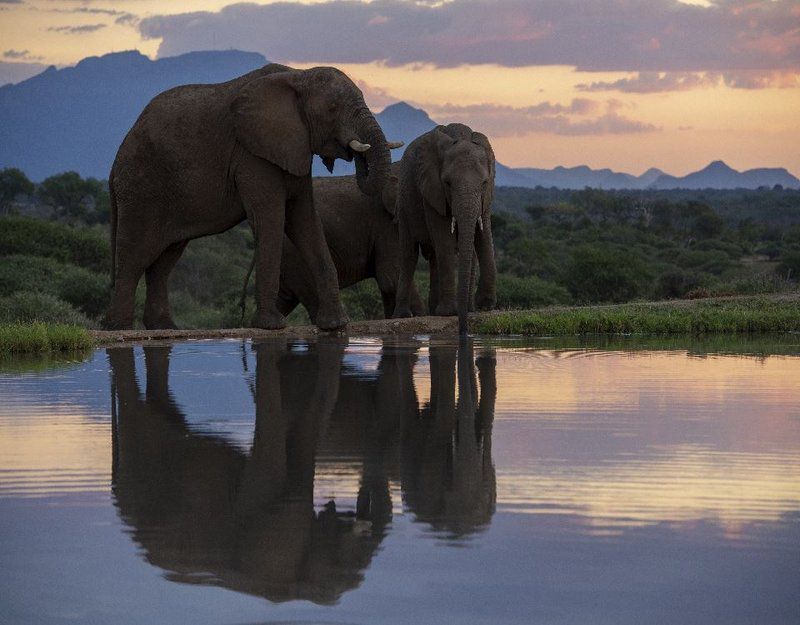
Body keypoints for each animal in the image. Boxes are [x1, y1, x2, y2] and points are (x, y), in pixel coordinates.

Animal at [105, 63, 394, 332]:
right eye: (333, 108)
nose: (356, 151)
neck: (298, 75)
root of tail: (117, 159)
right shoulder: (252, 155)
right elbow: (271, 218)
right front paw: (271, 326)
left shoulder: (293, 148)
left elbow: (305, 220)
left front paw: (336, 325)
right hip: (141, 188)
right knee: (134, 257)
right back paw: (121, 328)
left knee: (163, 261)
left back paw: (164, 328)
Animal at [392, 123, 496, 334]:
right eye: (447, 183)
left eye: (483, 183)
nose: (464, 330)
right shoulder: (432, 191)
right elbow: (445, 241)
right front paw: (449, 313)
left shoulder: (486, 197)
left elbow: (483, 237)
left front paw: (484, 306)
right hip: (404, 203)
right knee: (409, 255)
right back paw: (403, 315)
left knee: (435, 257)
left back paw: (441, 310)